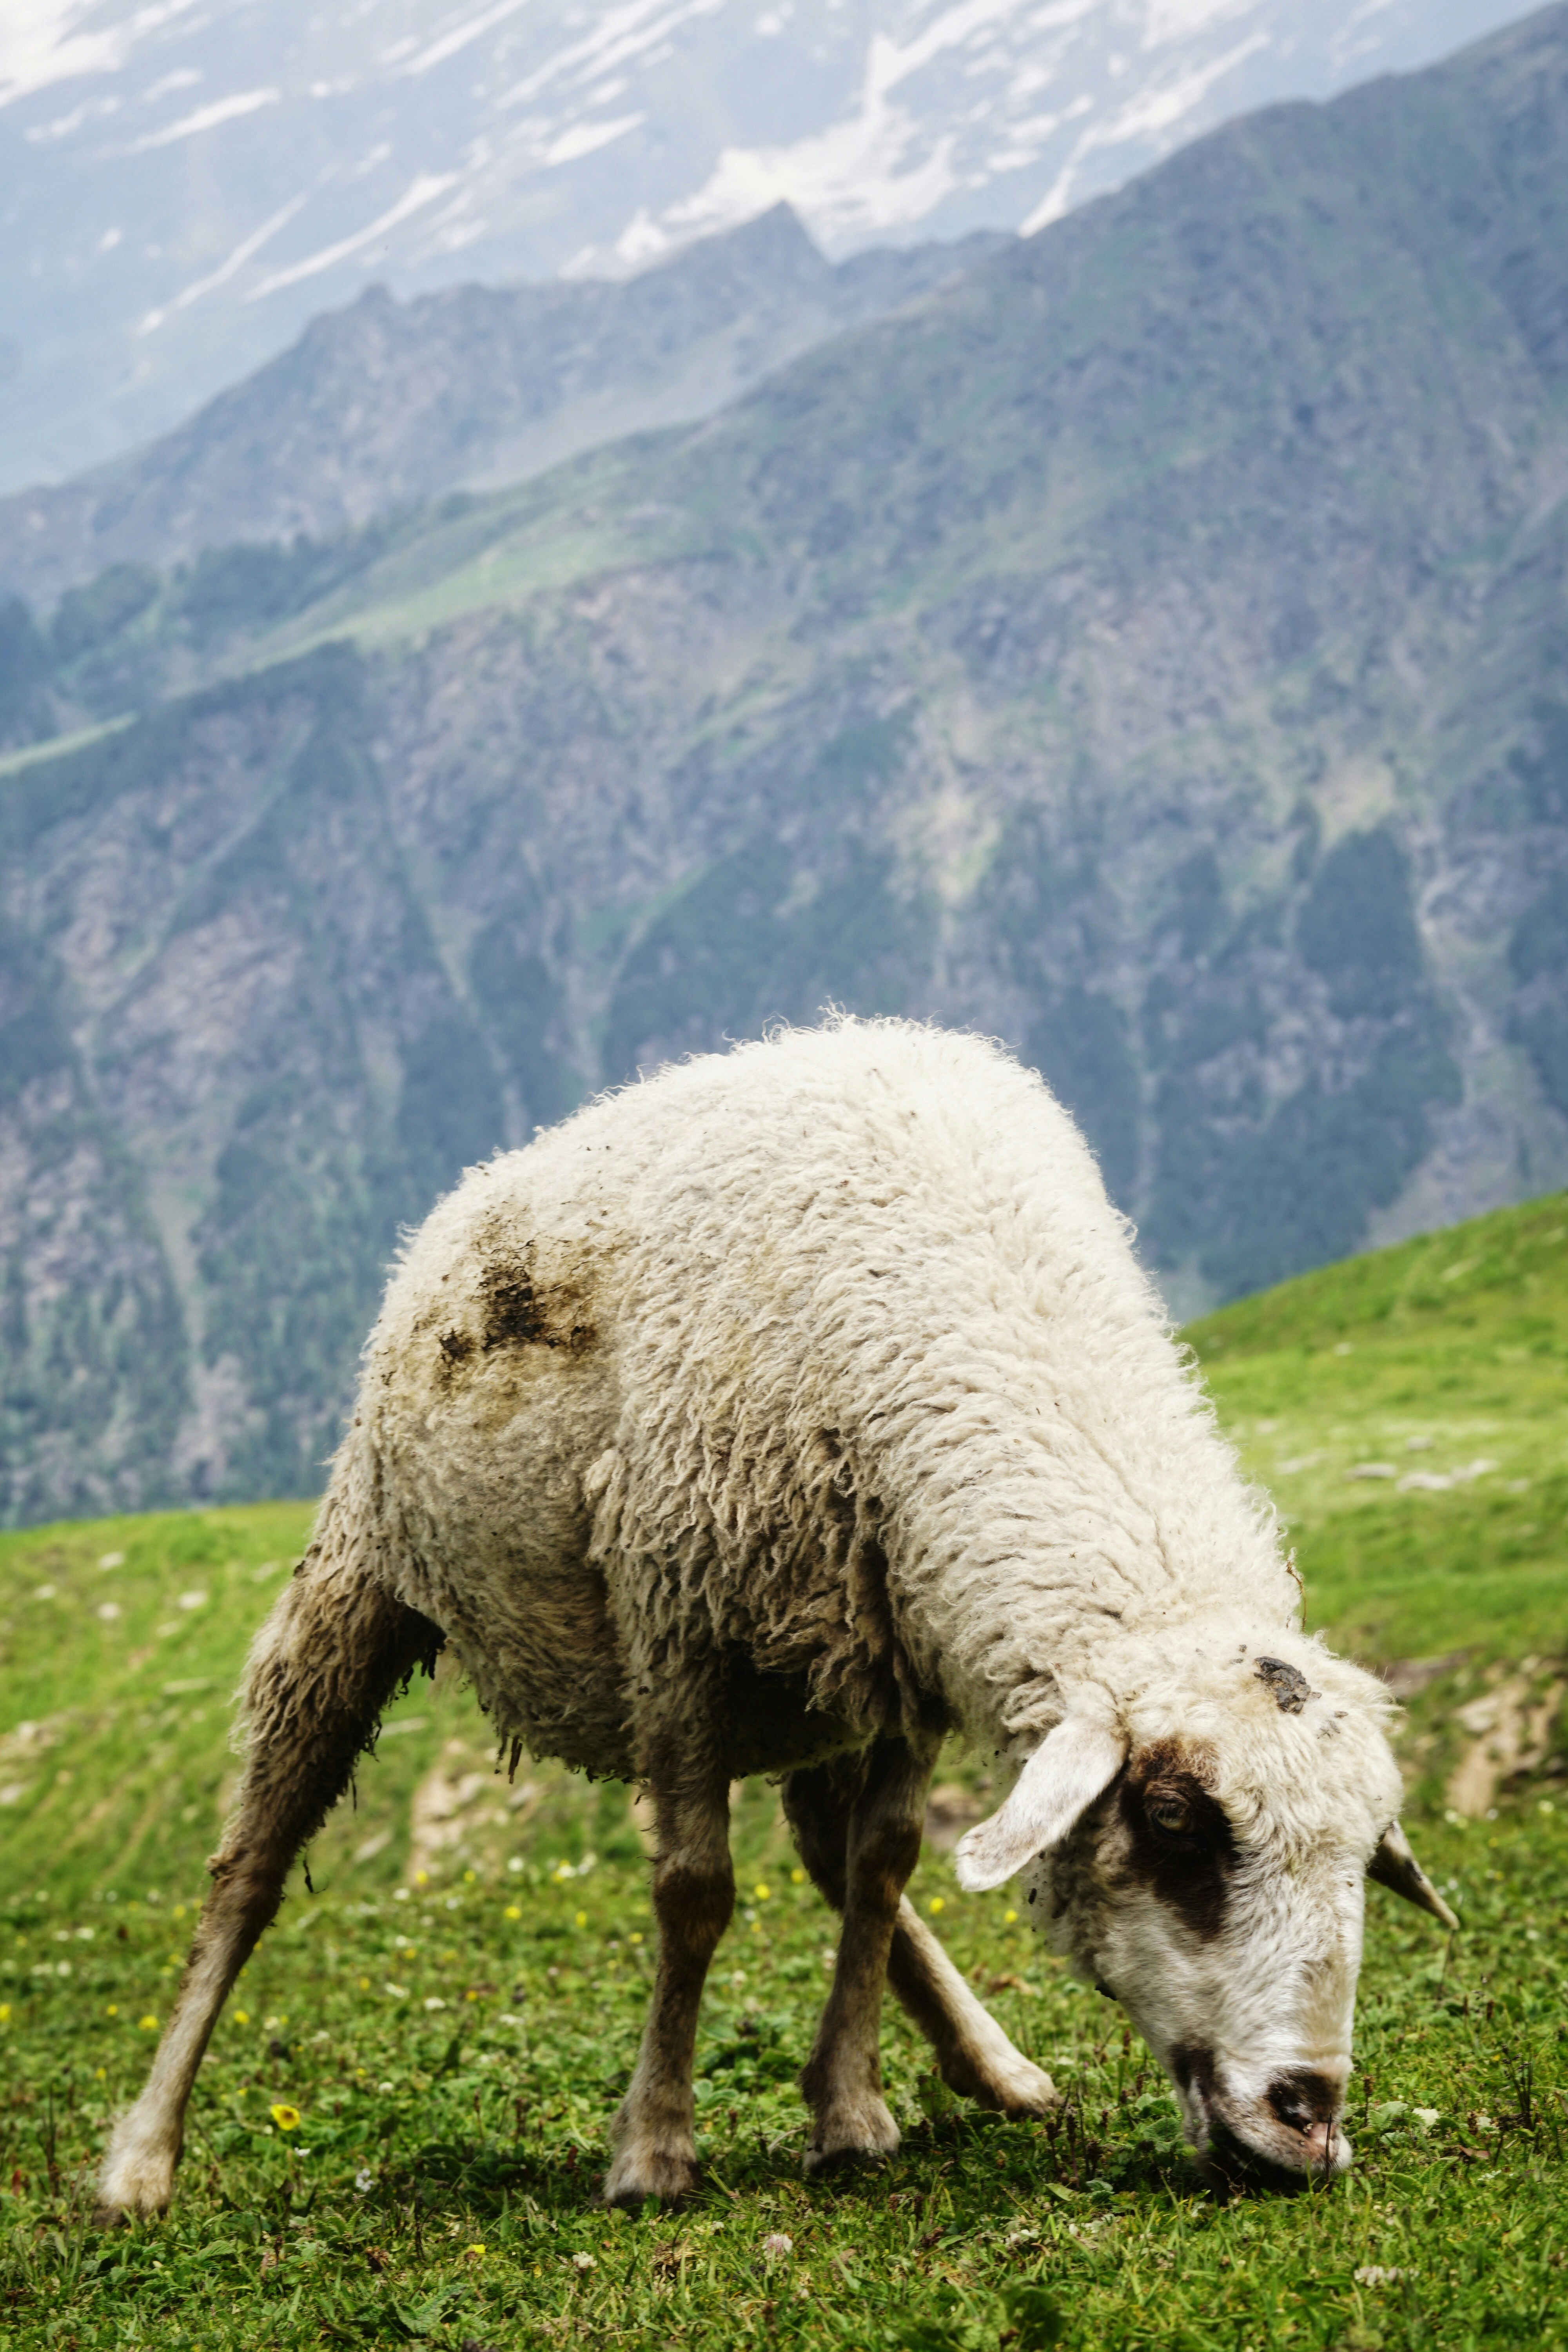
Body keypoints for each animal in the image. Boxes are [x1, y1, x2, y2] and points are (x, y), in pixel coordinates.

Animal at [95, 1016, 1453, 2222]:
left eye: (1362, 1853)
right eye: (1175, 1824)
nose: (1307, 2119)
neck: (978, 1303)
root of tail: (482, 1184)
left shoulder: (900, 1644)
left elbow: (883, 1863)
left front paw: (847, 2112)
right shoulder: (675, 1631)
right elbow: (694, 1891)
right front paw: (654, 2148)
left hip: (809, 1670)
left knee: (823, 1838)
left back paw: (993, 2067)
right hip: (360, 1574)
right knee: (250, 1864)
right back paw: (142, 2163)